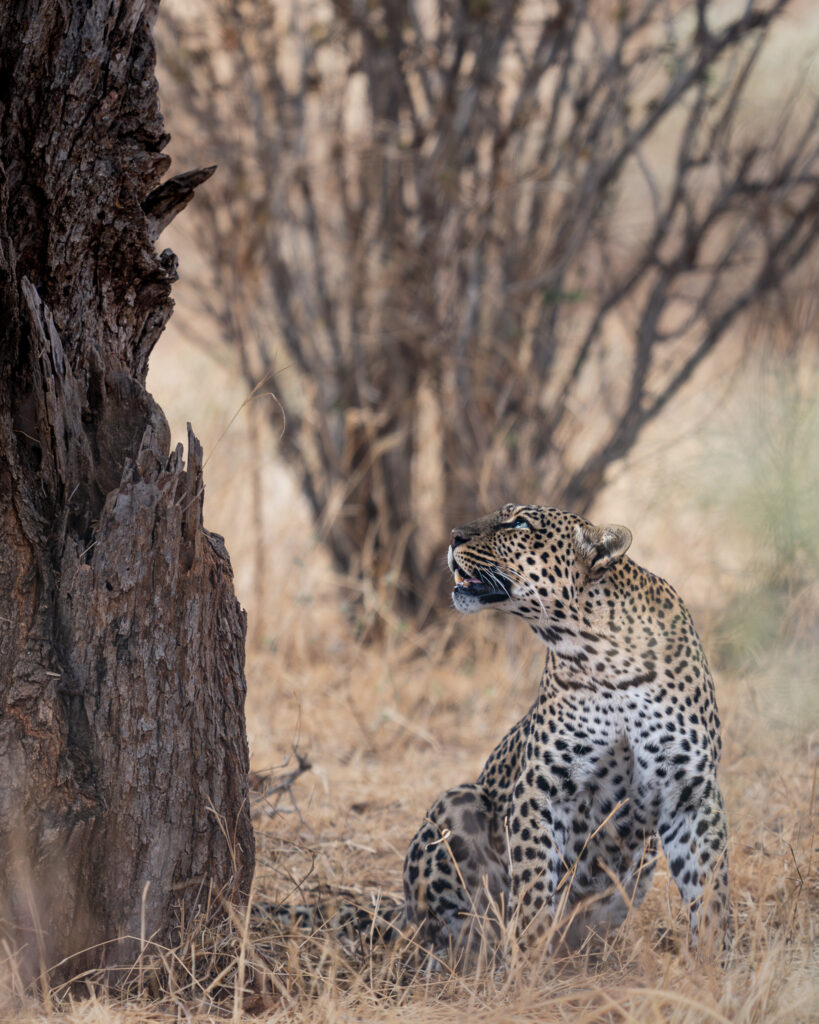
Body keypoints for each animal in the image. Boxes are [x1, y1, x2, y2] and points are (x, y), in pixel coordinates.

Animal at [269, 504, 731, 962]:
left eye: (520, 524)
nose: (453, 535)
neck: (603, 657)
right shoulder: (542, 785)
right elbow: (533, 885)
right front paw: (526, 962)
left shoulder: (690, 791)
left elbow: (710, 886)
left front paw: (714, 964)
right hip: (457, 803)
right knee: (439, 928)